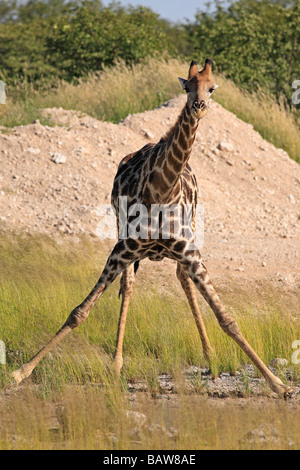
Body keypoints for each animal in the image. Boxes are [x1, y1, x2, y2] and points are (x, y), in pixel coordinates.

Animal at [12, 57, 290, 396]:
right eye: (187, 87)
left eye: (211, 88)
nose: (198, 106)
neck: (163, 189)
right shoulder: (123, 248)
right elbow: (80, 311)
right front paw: (21, 372)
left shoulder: (189, 252)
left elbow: (227, 318)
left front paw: (278, 384)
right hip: (122, 235)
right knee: (129, 285)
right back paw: (117, 363)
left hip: (189, 234)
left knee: (182, 280)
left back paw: (209, 357)